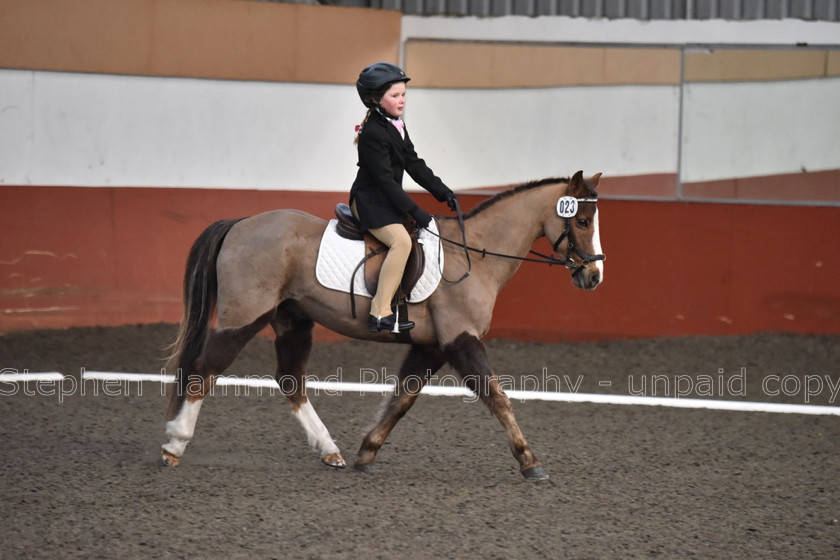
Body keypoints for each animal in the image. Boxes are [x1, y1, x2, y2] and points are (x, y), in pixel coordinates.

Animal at [159, 171, 604, 482]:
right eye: (582, 221)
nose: (594, 276)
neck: (475, 255)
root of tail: (242, 223)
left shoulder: (431, 346)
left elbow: (402, 399)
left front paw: (366, 453)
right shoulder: (461, 340)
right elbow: (498, 398)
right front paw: (531, 462)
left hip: (293, 319)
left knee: (290, 380)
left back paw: (330, 450)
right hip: (244, 317)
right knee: (204, 370)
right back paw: (175, 443)